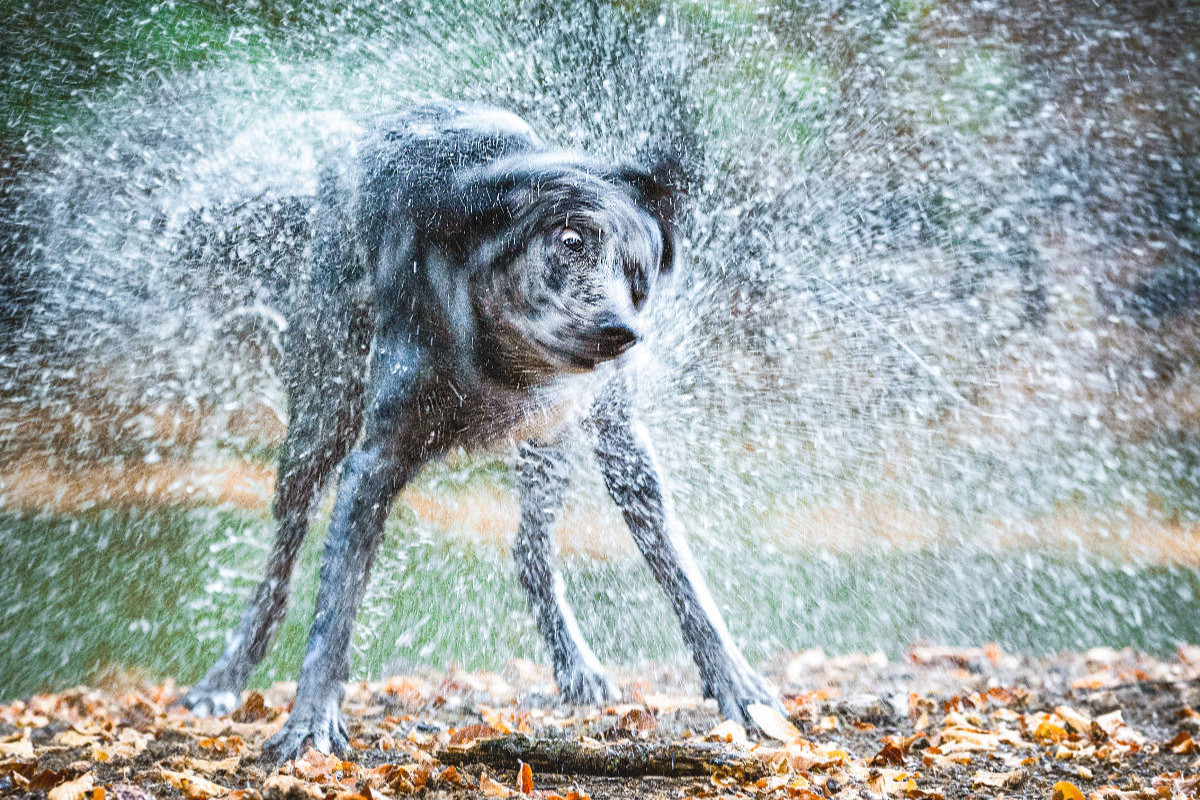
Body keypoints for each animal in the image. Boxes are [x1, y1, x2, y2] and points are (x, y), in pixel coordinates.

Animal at [177, 101, 777, 762]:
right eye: (571, 240)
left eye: (638, 275)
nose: (622, 330)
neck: (498, 358)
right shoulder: (374, 462)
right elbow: (334, 612)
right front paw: (309, 722)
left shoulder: (619, 442)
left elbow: (685, 579)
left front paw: (738, 687)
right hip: (320, 426)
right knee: (280, 569)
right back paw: (224, 679)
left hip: (549, 448)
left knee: (529, 551)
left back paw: (575, 666)